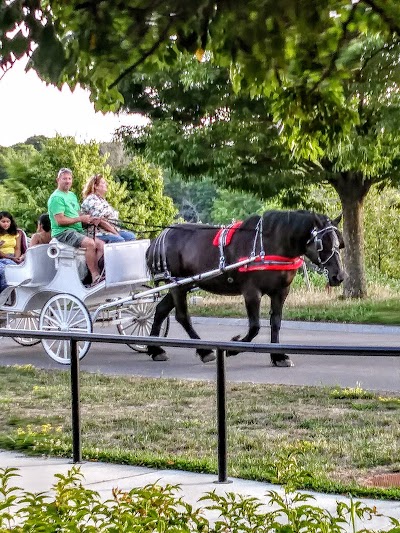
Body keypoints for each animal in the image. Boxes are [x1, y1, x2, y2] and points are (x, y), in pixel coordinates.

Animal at [146, 209, 344, 366]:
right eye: (322, 243)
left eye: (339, 243)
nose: (339, 276)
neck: (270, 245)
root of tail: (159, 238)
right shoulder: (251, 292)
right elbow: (255, 326)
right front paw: (234, 347)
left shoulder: (280, 292)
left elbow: (276, 323)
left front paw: (278, 356)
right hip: (177, 284)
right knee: (182, 316)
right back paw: (204, 351)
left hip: (184, 284)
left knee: (161, 309)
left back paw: (155, 349)